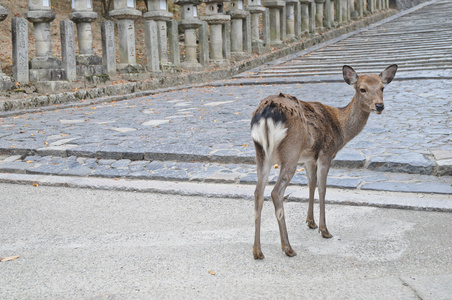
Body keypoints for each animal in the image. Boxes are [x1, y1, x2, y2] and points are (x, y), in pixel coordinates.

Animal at [251, 64, 400, 258]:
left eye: (382, 88)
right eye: (362, 89)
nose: (380, 105)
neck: (340, 128)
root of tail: (267, 113)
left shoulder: (308, 158)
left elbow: (311, 184)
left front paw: (311, 222)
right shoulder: (326, 153)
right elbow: (322, 188)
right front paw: (324, 229)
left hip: (262, 154)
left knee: (258, 192)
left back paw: (257, 251)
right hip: (290, 152)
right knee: (276, 192)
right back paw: (288, 248)